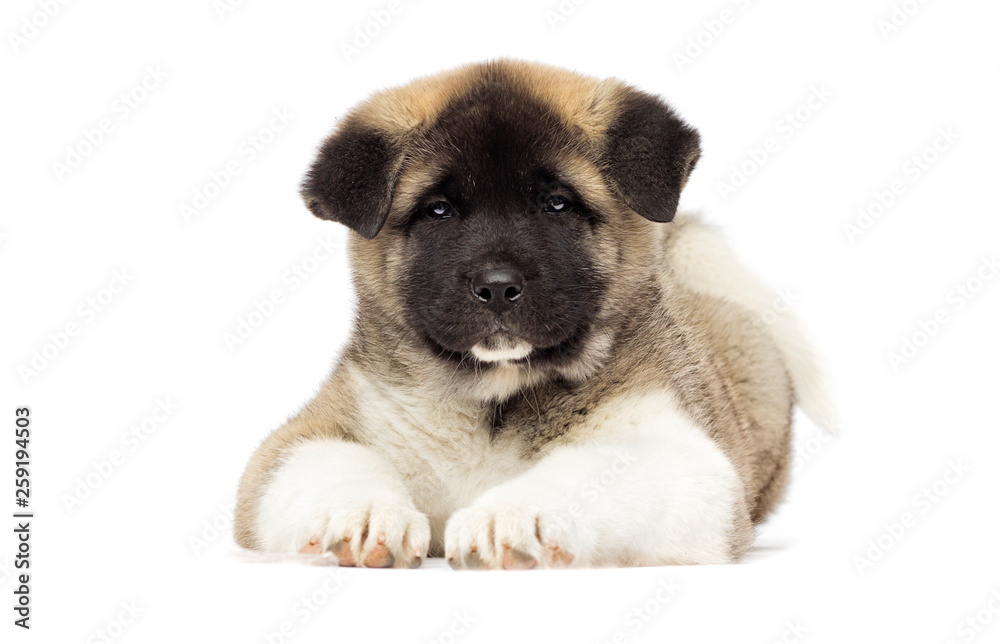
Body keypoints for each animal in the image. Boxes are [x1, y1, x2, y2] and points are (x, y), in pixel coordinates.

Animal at [232, 57, 828, 568]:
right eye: (438, 211)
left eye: (557, 204)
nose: (497, 288)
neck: (491, 401)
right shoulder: (301, 440)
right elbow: (336, 463)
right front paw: (366, 515)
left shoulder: (686, 460)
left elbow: (582, 471)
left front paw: (509, 516)